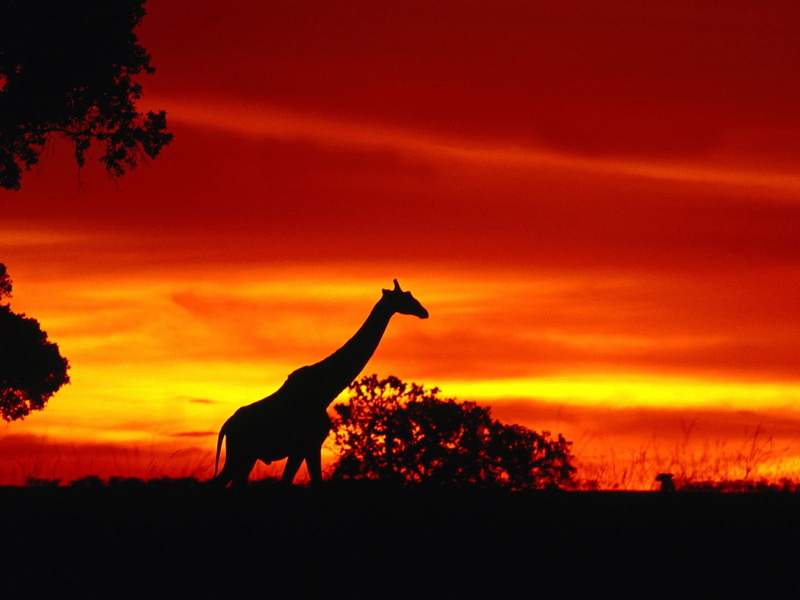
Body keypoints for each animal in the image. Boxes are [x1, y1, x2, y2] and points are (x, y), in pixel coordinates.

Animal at [211, 279, 428, 487]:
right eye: (405, 297)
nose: (424, 312)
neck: (325, 390)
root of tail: (227, 425)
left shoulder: (307, 447)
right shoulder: (308, 444)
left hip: (247, 457)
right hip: (241, 455)